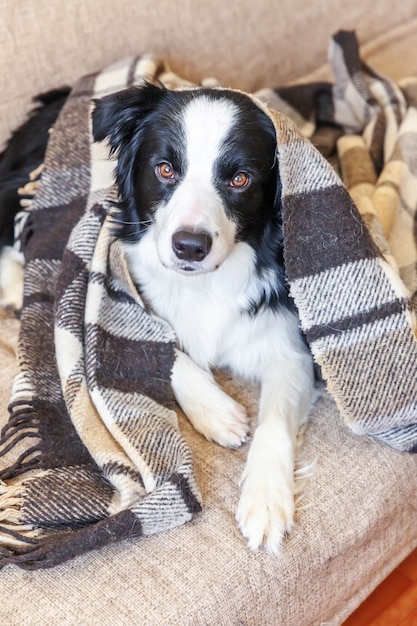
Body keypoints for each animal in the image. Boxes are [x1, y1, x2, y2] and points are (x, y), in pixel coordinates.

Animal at [92, 83, 314, 552]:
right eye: (164, 169)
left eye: (239, 178)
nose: (190, 246)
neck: (206, 284)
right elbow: (162, 347)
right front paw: (218, 412)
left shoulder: (293, 350)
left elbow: (274, 421)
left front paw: (266, 499)